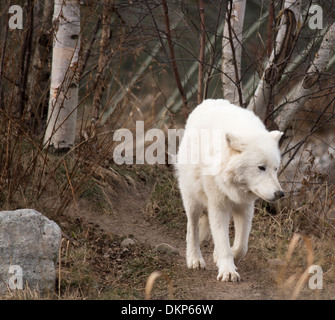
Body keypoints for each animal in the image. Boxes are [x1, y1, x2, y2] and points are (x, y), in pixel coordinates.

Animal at [177, 99, 284, 282]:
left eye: (275, 169)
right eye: (261, 167)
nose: (279, 194)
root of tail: (208, 101)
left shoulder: (245, 207)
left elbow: (242, 245)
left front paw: (228, 257)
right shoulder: (218, 206)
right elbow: (222, 241)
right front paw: (228, 271)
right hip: (193, 200)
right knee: (192, 228)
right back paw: (195, 259)